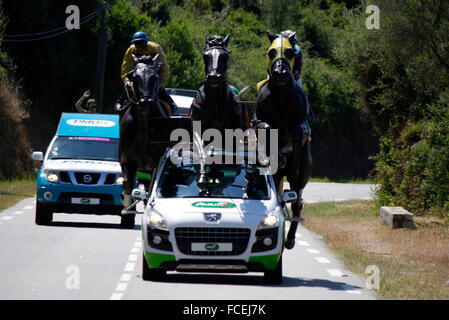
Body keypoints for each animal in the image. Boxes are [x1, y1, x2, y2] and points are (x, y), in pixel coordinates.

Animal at [118, 54, 171, 210]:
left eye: (155, 77)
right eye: (135, 77)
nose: (145, 102)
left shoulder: (158, 161)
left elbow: (153, 185)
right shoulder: (126, 160)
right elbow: (128, 184)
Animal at [254, 30, 314, 250]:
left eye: (290, 52)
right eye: (271, 52)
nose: (280, 73)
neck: (280, 96)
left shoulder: (301, 125)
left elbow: (297, 131)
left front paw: (290, 164)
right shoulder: (260, 121)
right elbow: (266, 128)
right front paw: (277, 158)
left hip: (304, 175)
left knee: (297, 203)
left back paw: (289, 239)